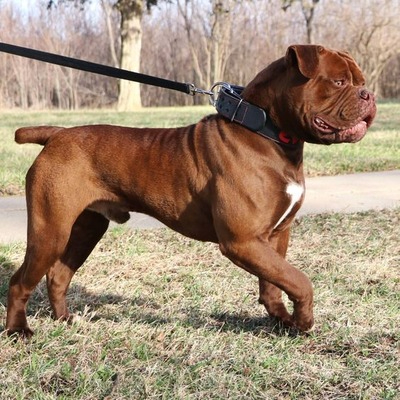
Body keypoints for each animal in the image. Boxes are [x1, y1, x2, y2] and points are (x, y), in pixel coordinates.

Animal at [5, 44, 376, 338]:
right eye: (339, 82)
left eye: (360, 82)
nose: (368, 95)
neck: (266, 131)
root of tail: (57, 134)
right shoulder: (243, 241)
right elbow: (300, 280)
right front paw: (303, 320)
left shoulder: (276, 235)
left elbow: (275, 282)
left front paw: (284, 321)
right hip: (50, 230)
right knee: (20, 281)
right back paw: (18, 331)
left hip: (85, 229)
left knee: (58, 275)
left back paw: (65, 320)